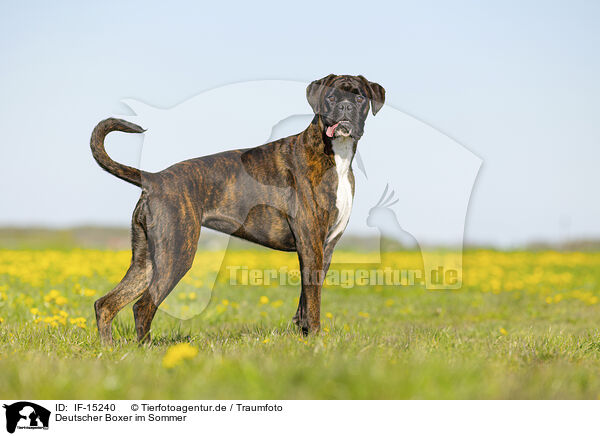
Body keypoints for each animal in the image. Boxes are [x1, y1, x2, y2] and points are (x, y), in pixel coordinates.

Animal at [92, 73, 386, 342]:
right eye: (331, 98)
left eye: (359, 98)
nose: (345, 107)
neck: (335, 154)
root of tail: (153, 178)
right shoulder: (311, 243)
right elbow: (313, 299)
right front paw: (315, 339)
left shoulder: (325, 247)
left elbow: (306, 298)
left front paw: (303, 335)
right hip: (175, 254)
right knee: (143, 306)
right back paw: (146, 350)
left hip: (147, 260)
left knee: (106, 304)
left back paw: (111, 349)